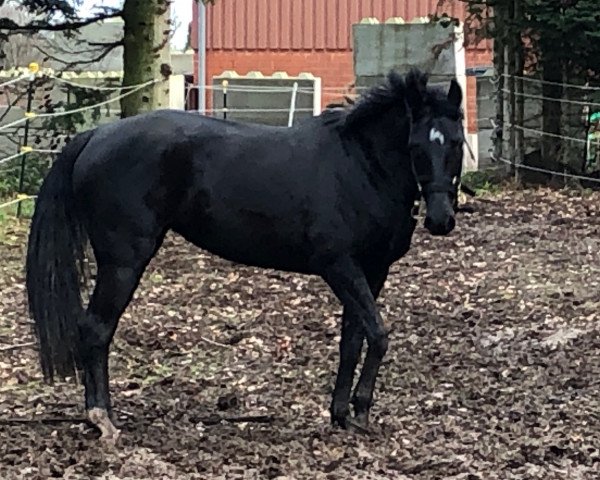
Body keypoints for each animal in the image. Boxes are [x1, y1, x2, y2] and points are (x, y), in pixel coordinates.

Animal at [25, 69, 466, 440]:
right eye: (416, 145)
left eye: (456, 142)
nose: (440, 220)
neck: (359, 166)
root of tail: (97, 135)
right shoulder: (339, 267)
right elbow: (378, 335)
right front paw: (358, 413)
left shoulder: (372, 271)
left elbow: (353, 339)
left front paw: (343, 414)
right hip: (123, 262)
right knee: (96, 329)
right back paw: (102, 419)